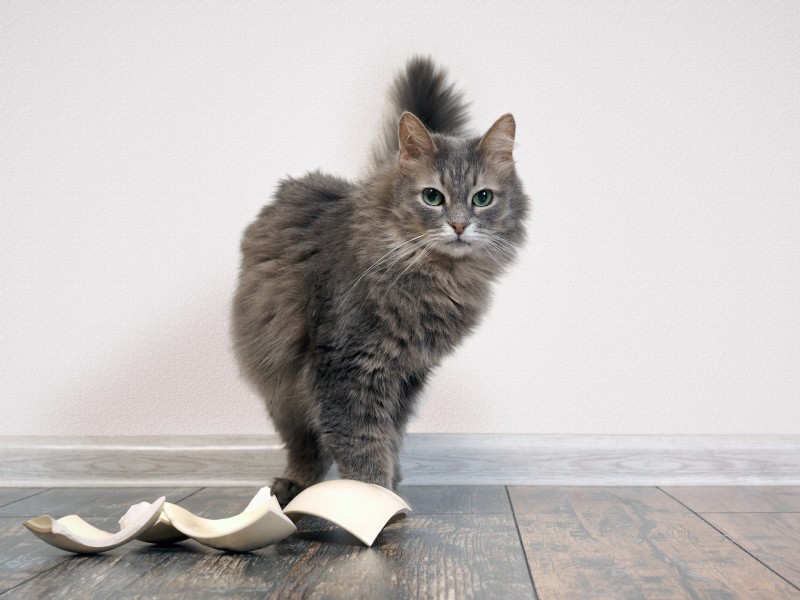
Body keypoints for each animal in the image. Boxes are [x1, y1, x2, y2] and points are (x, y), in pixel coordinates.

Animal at [233, 57, 532, 506]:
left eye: (482, 198)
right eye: (432, 197)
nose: (459, 225)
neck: (433, 277)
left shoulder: (407, 373)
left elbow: (386, 438)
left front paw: (388, 494)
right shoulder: (346, 368)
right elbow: (361, 444)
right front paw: (373, 500)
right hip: (280, 381)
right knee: (305, 444)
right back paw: (292, 487)